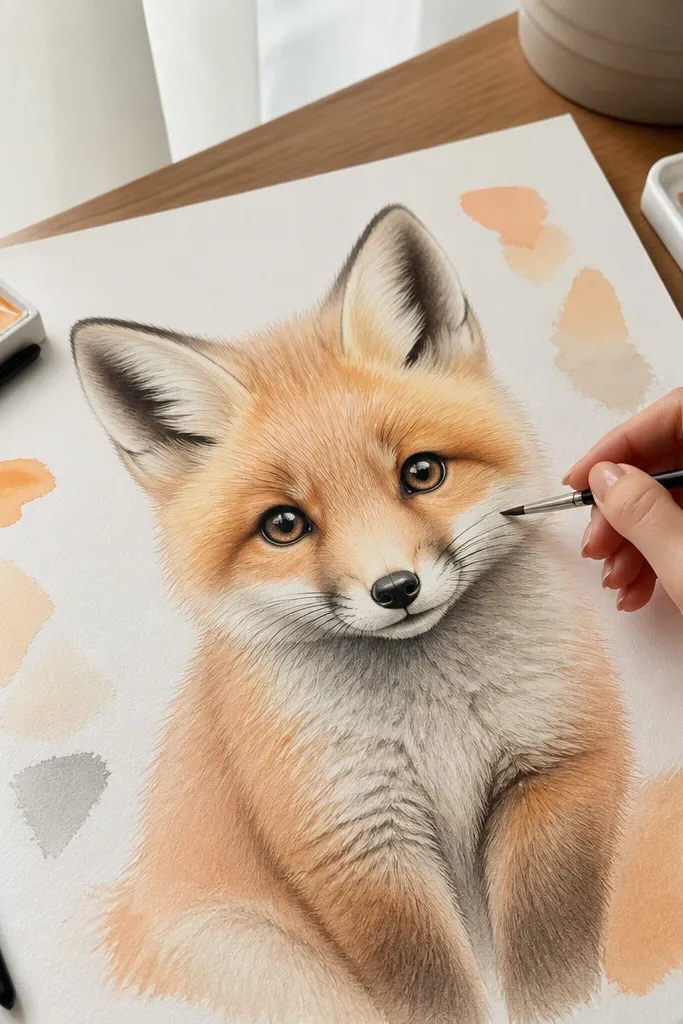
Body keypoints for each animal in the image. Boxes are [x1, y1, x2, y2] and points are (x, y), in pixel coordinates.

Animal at [72, 205, 632, 1024]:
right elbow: (435, 996)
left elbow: (549, 965)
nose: (396, 589)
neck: (434, 721)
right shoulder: (357, 846)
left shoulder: (558, 768)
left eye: (422, 472)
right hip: (261, 961)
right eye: (283, 525)